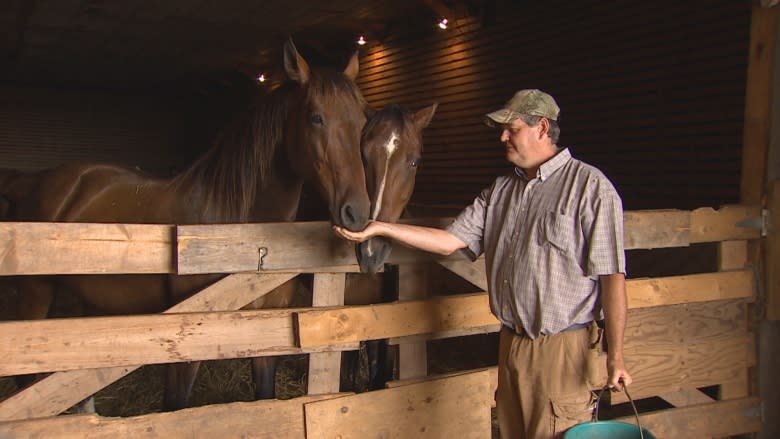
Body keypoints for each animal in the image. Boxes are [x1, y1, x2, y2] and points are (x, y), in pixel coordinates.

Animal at [0, 38, 372, 412]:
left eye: (362, 121)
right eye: (316, 118)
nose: (357, 212)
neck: (241, 236)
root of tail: (40, 181)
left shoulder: (269, 339)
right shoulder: (186, 346)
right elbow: (176, 407)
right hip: (35, 297)